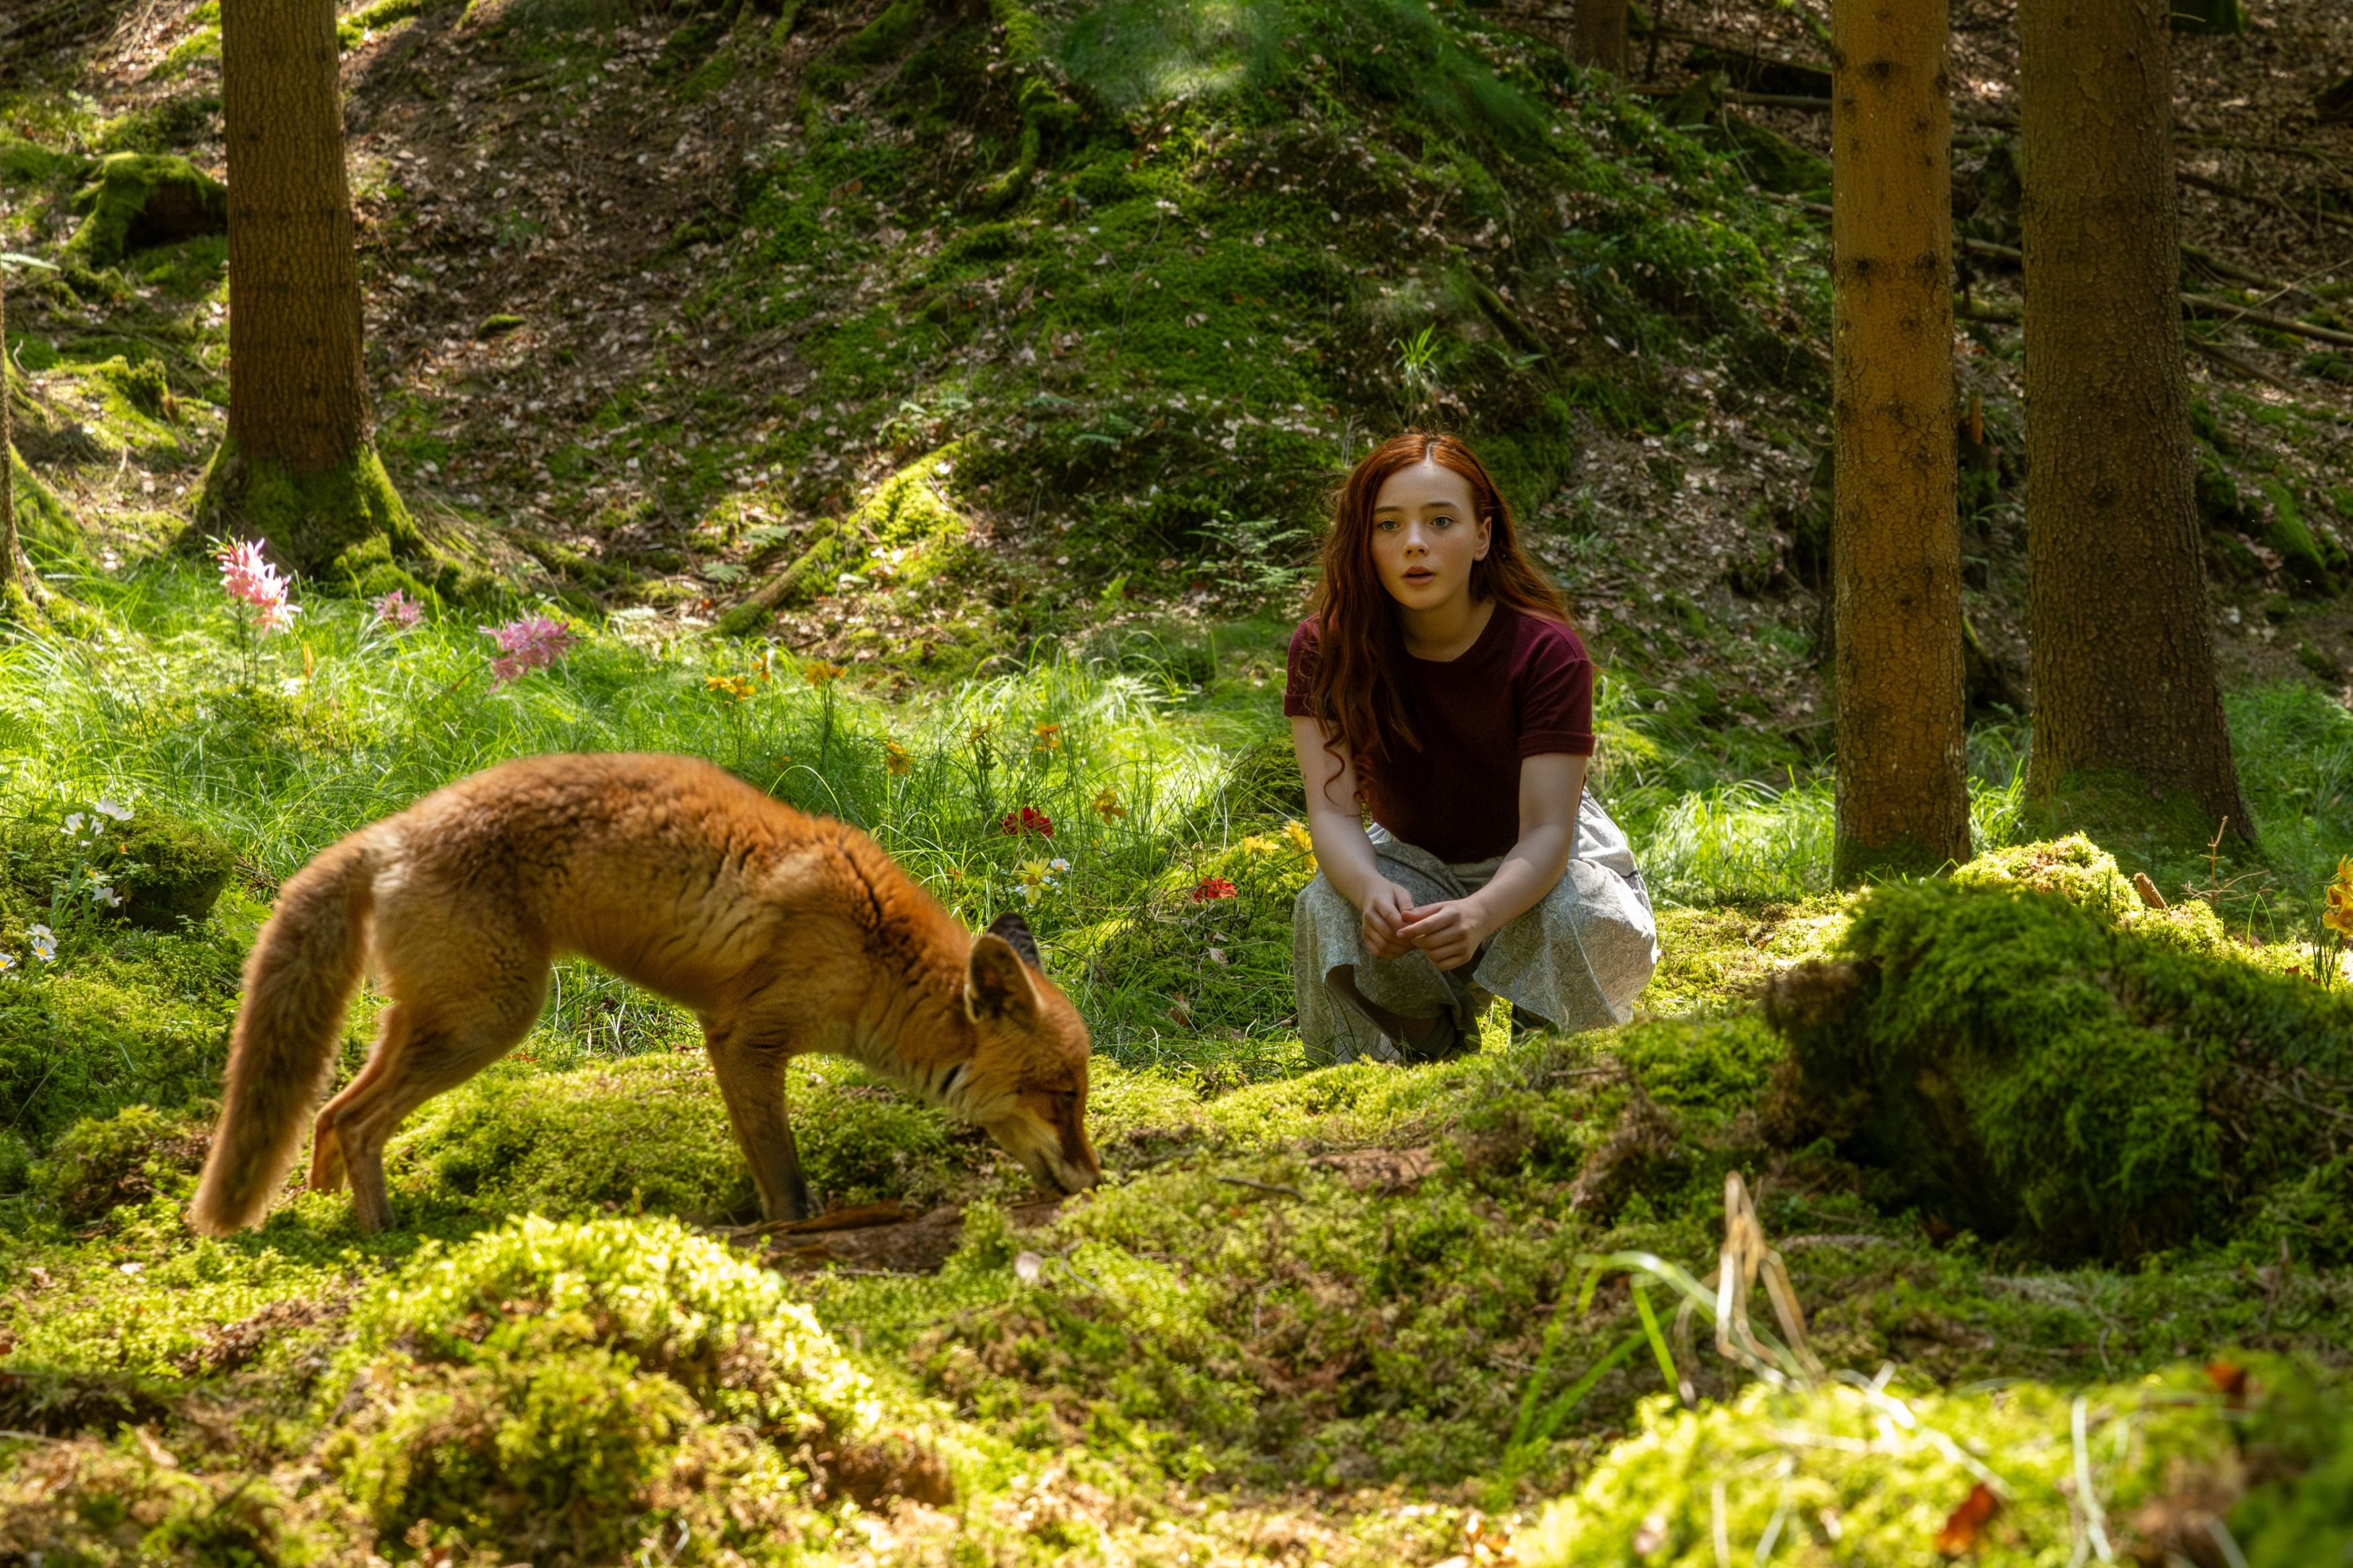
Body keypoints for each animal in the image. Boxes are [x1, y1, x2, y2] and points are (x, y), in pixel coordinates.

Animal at [187, 752, 1100, 1236]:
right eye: (1060, 1096)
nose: (1095, 1180)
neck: (877, 954)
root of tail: (392, 829)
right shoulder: (744, 1038)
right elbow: (784, 1178)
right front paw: (794, 1232)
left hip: (435, 1019)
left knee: (328, 1113)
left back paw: (323, 1210)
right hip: (488, 1021)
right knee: (354, 1120)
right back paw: (383, 1238)